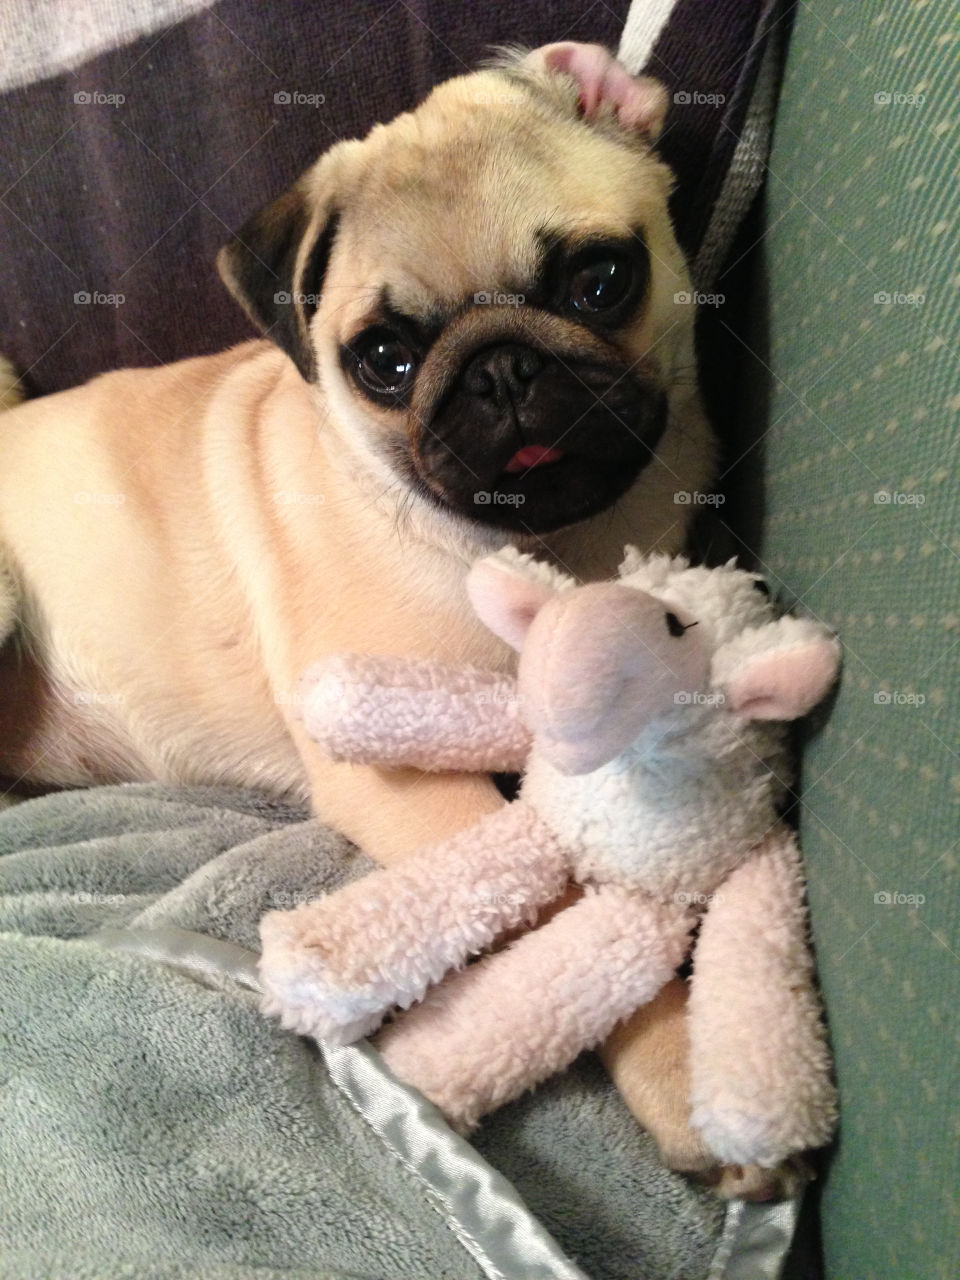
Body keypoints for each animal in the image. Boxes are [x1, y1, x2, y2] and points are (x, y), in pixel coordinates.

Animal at [0, 42, 788, 1198]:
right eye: (384, 361)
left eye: (601, 282)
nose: (502, 370)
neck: (555, 548)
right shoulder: (403, 774)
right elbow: (560, 894)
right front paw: (674, 1059)